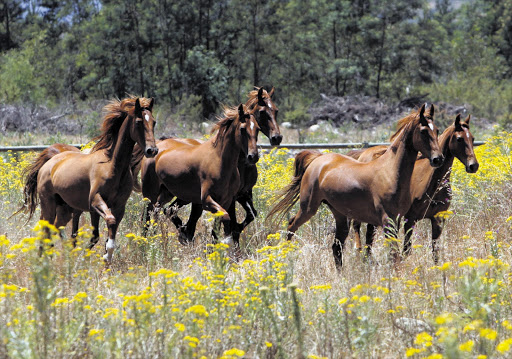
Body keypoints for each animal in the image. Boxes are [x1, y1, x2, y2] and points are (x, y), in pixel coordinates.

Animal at [20, 97, 158, 264]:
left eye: (154, 122)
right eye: (138, 122)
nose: (152, 150)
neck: (112, 166)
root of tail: (50, 162)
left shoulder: (118, 207)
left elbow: (101, 235)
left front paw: (105, 258)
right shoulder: (95, 202)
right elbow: (107, 224)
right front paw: (94, 257)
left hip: (65, 210)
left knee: (55, 229)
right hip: (49, 205)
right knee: (45, 231)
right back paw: (44, 261)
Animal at [268, 104, 444, 270]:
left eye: (437, 130)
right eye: (423, 131)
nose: (438, 159)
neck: (391, 172)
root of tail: (317, 160)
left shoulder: (398, 220)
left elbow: (396, 254)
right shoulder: (387, 221)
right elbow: (394, 255)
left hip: (339, 214)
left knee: (336, 248)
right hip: (308, 208)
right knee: (291, 226)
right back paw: (287, 258)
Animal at [350, 114, 478, 262]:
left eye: (472, 138)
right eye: (459, 139)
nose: (473, 166)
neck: (433, 183)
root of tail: (363, 155)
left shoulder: (438, 220)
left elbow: (435, 252)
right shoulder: (410, 219)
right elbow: (407, 250)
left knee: (369, 235)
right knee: (357, 226)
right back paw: (358, 251)